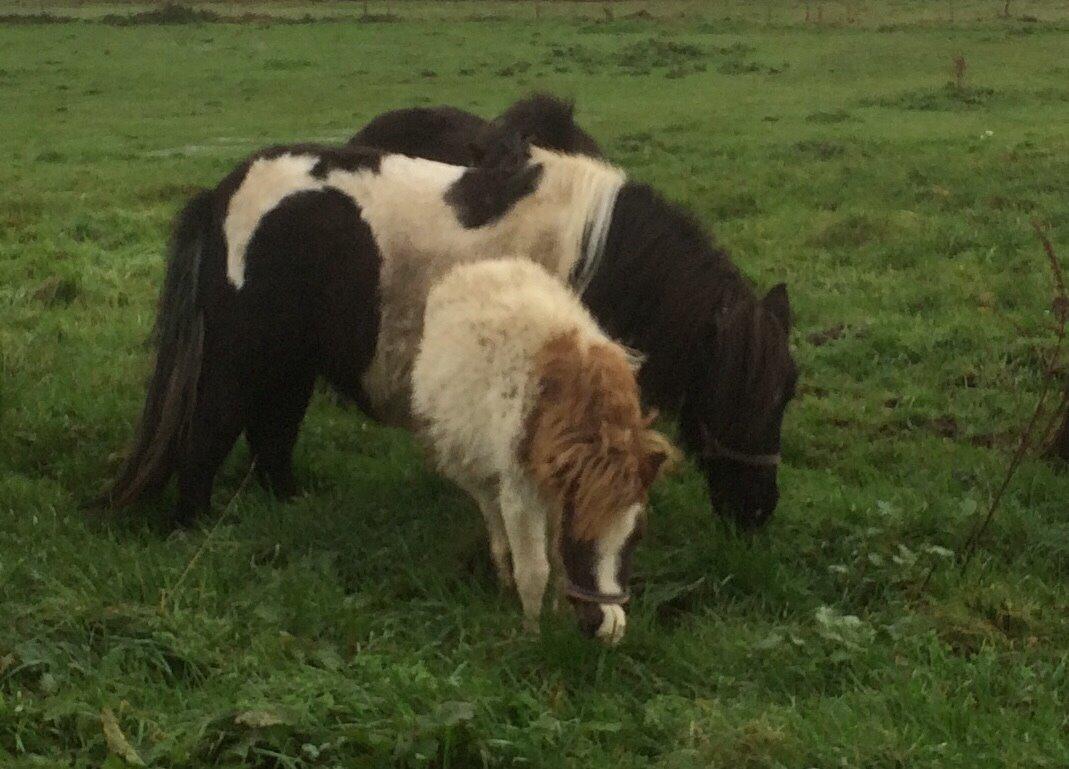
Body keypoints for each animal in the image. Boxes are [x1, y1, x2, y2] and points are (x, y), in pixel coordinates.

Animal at [108, 136, 795, 530]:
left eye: (785, 395)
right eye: (745, 397)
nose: (761, 509)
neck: (606, 260)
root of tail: (222, 195)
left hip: (289, 362)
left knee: (271, 434)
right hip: (243, 358)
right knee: (210, 431)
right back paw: (194, 527)